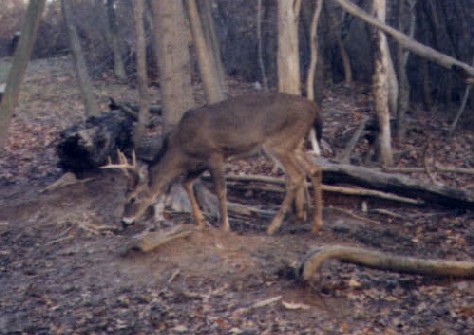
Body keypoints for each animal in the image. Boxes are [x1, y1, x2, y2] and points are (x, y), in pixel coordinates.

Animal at [104, 92, 322, 235]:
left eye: (132, 198)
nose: (125, 221)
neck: (180, 149)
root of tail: (314, 108)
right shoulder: (198, 163)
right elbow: (186, 183)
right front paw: (201, 222)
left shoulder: (215, 154)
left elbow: (220, 190)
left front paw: (224, 226)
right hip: (295, 144)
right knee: (314, 169)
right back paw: (315, 225)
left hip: (279, 144)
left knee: (296, 175)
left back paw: (273, 226)